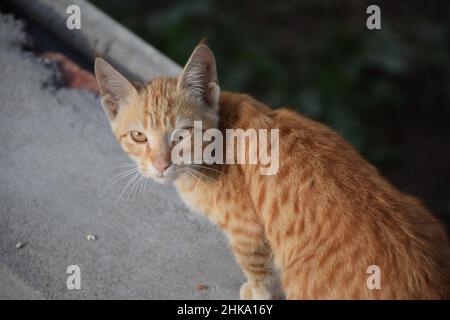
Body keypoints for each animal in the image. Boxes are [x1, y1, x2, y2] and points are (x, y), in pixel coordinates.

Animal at [94, 42, 450, 300]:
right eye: (139, 137)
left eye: (182, 135)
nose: (161, 165)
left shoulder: (248, 229)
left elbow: (256, 266)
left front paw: (257, 291)